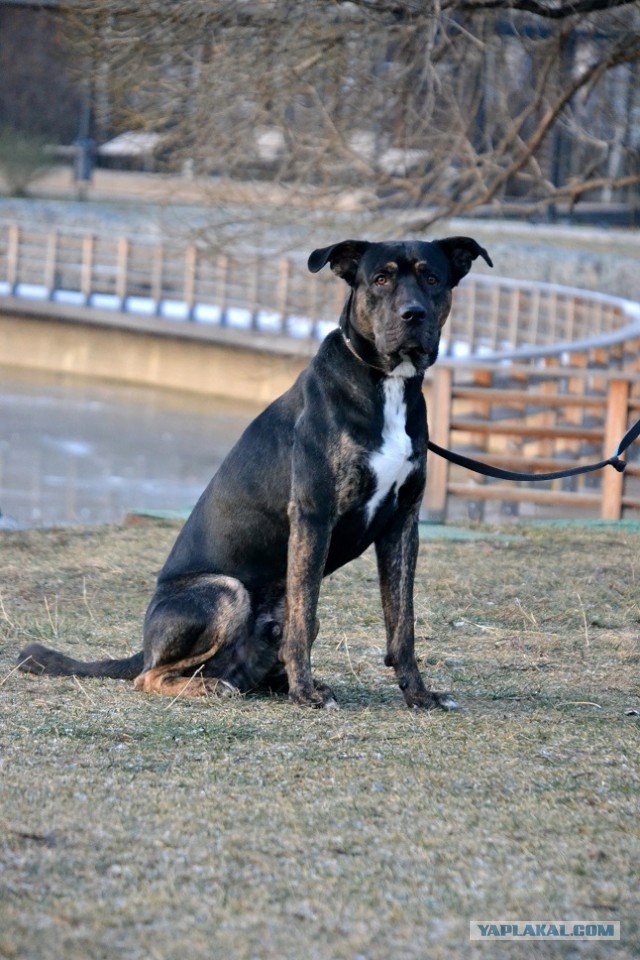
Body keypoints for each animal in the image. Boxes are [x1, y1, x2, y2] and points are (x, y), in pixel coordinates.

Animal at [17, 236, 492, 708]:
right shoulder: (313, 515)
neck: (385, 380)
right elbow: (303, 621)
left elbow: (402, 622)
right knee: (151, 676)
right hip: (226, 590)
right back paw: (219, 686)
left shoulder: (402, 523)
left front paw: (418, 694)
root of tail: (144, 645)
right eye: (380, 279)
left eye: (432, 278)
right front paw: (306, 693)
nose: (414, 314)